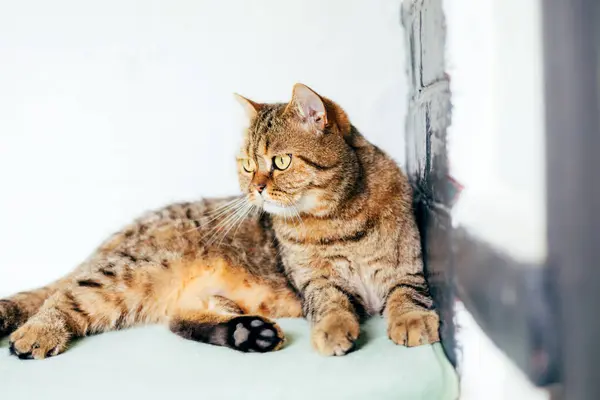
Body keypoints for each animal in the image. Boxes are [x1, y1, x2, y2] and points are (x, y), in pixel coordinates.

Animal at [1, 84, 440, 360]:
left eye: (281, 161)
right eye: (247, 165)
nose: (256, 188)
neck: (336, 217)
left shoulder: (406, 269)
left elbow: (406, 295)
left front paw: (412, 320)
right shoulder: (318, 284)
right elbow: (330, 303)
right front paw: (333, 329)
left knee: (178, 321)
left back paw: (247, 333)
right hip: (132, 272)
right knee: (64, 296)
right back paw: (37, 332)